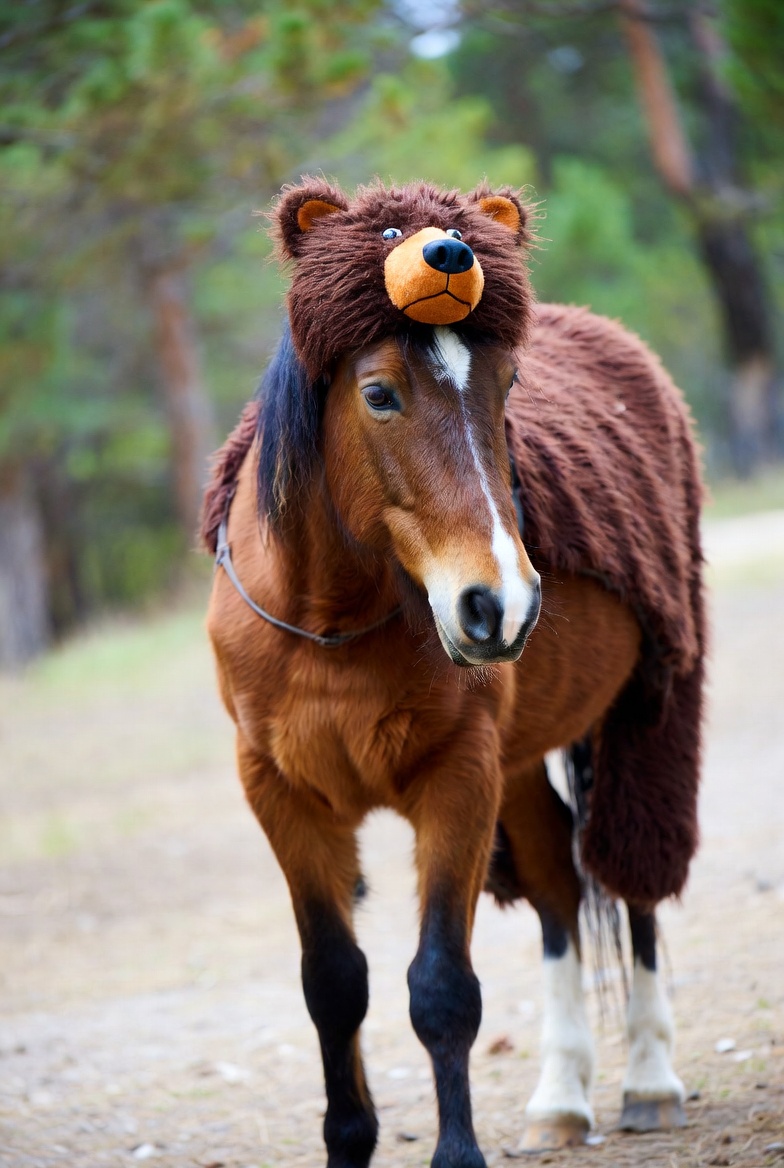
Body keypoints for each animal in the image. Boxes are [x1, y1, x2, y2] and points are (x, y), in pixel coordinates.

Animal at [203, 180, 704, 1168]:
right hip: (522, 762)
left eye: (507, 384)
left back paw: (649, 1080)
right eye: (379, 394)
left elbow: (442, 988)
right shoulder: (282, 795)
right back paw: (561, 1098)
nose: (499, 605)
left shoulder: (457, 777)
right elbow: (334, 986)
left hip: (641, 710)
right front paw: (349, 1141)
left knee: (631, 878)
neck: (329, 627)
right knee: (558, 885)